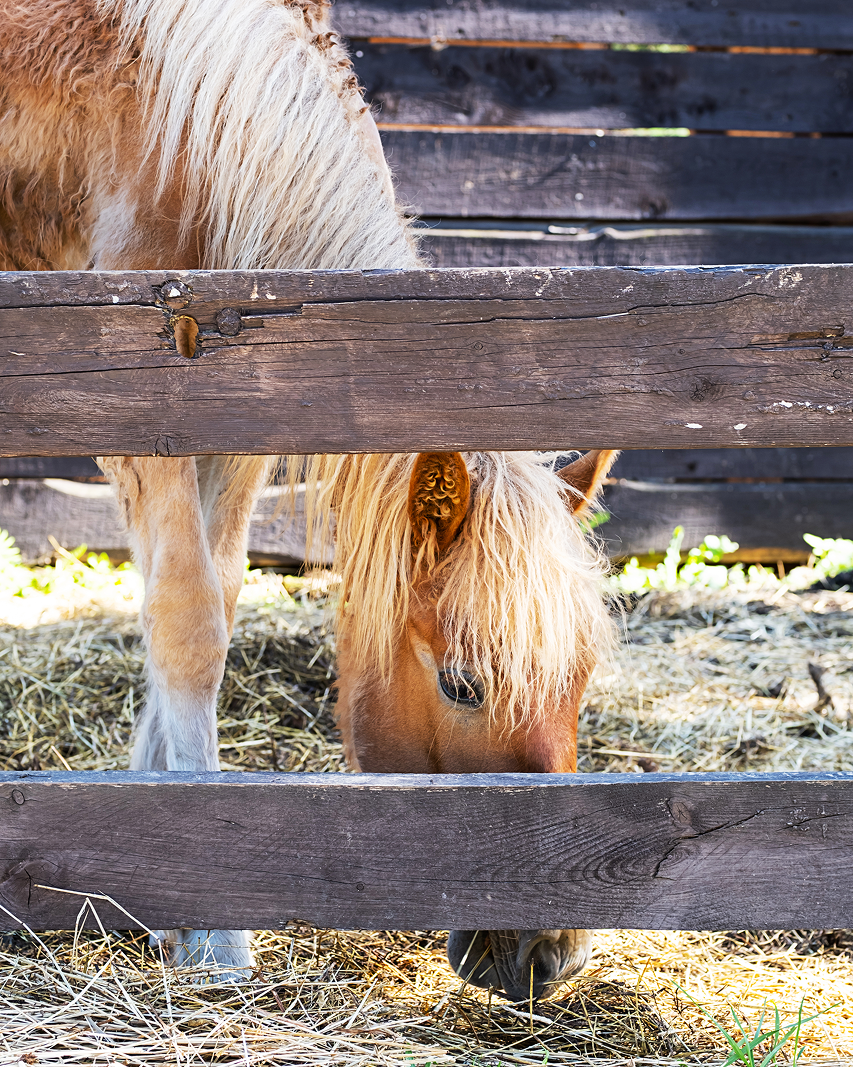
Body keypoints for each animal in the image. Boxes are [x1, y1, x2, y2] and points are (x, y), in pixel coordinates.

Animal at [0, 0, 617, 1001]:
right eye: (463, 684)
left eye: (579, 678)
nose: (546, 952)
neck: (178, 121)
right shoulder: (141, 408)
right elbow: (187, 622)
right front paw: (211, 926)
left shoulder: (239, 419)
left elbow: (213, 592)